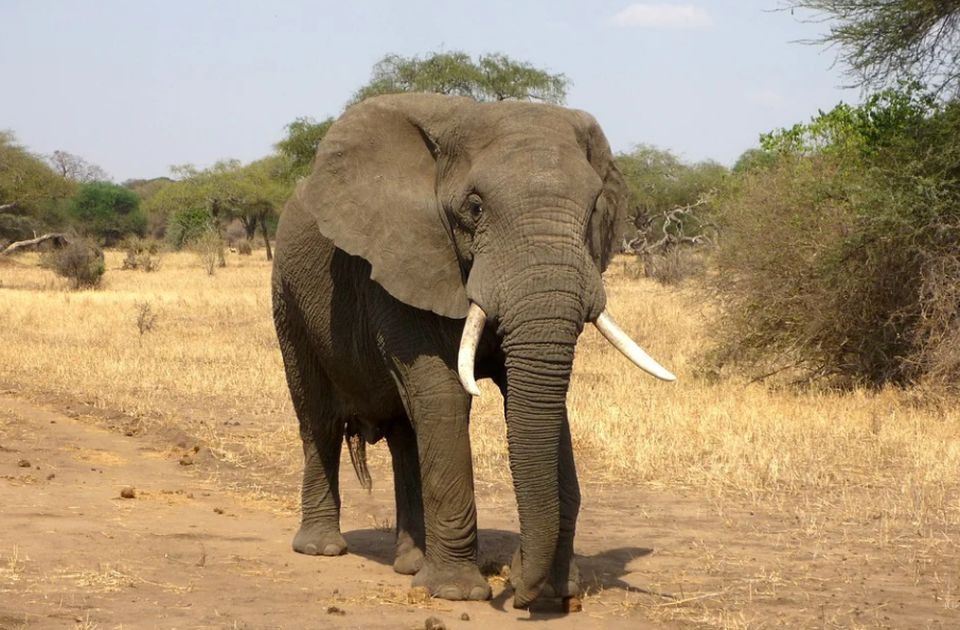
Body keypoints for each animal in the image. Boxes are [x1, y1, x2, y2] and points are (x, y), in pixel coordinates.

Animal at [270, 91, 676, 608]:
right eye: (475, 207)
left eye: (592, 212)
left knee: (405, 432)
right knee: (318, 418)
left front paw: (554, 591)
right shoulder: (404, 259)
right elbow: (445, 394)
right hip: (288, 299)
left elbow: (537, 400)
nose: (519, 589)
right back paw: (322, 549)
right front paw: (456, 594)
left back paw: (410, 564)